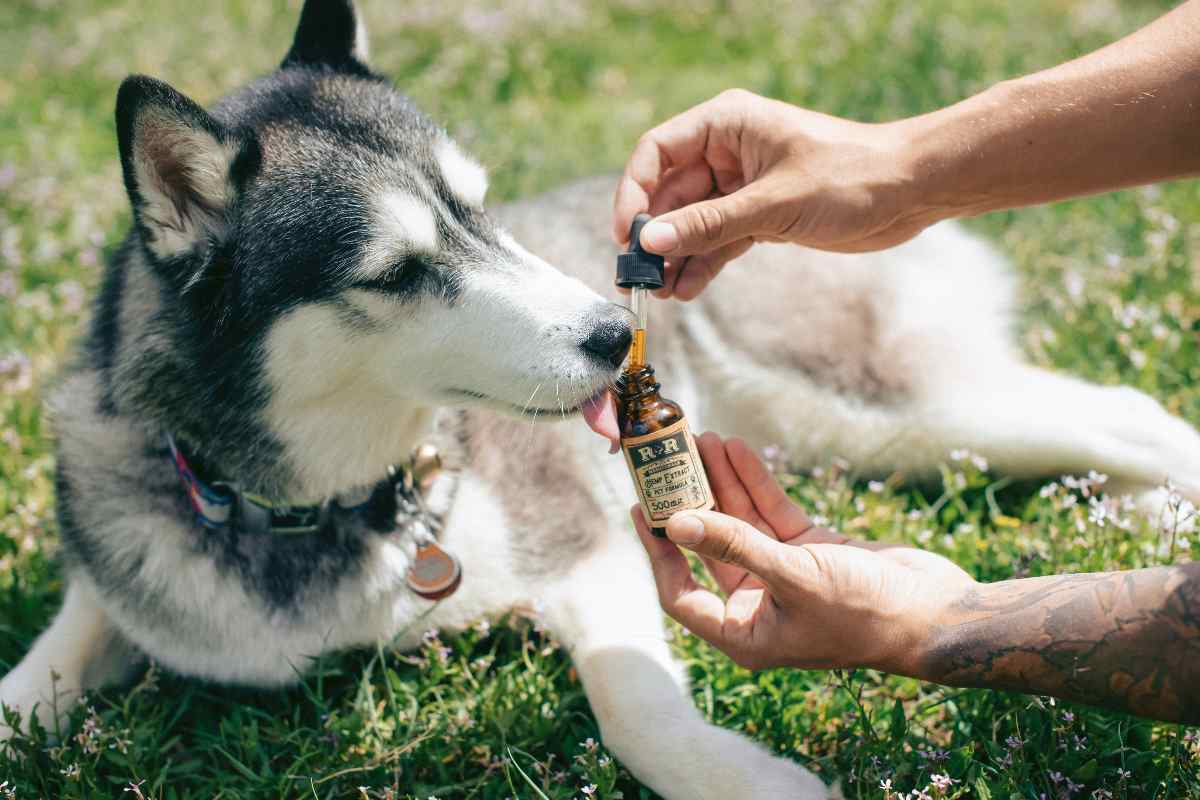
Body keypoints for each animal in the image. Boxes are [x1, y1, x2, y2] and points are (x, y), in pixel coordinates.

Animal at [2, 0, 1200, 796]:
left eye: (483, 210)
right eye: (397, 271)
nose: (616, 331)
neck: (321, 510)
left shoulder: (587, 544)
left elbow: (633, 708)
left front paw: (745, 781)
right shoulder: (124, 565)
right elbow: (41, 668)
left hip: (882, 405)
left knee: (1128, 410)